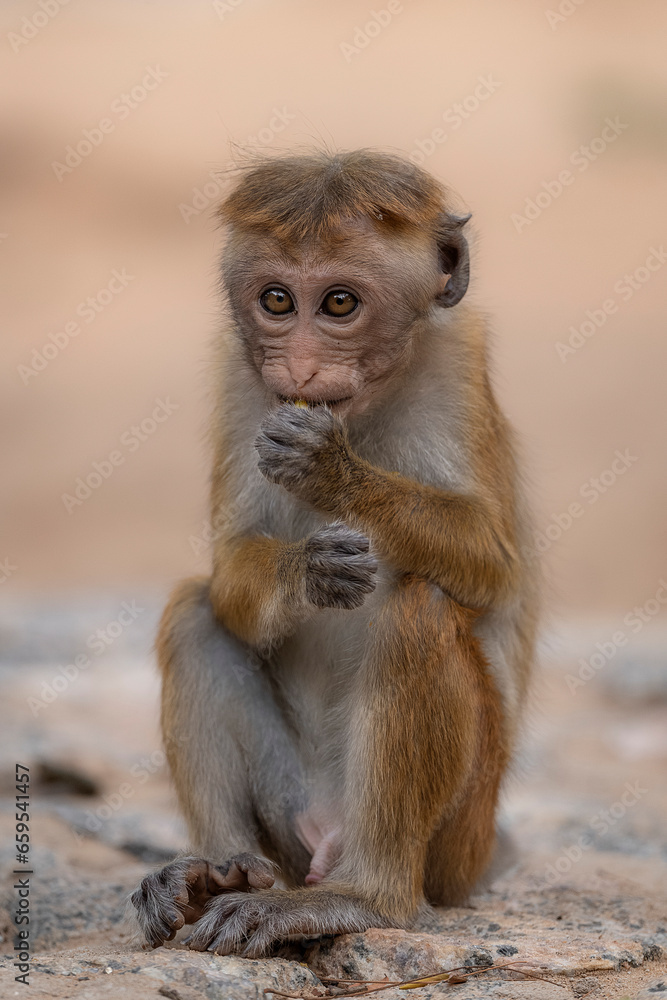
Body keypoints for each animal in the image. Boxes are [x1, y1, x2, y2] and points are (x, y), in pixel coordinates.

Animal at [132, 150, 544, 960]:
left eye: (340, 304)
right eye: (277, 300)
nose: (298, 368)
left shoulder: (457, 364)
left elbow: (491, 562)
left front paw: (333, 471)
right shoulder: (240, 379)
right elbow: (232, 573)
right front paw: (306, 570)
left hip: (458, 840)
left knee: (420, 606)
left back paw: (362, 898)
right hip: (288, 813)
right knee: (194, 611)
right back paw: (214, 874)